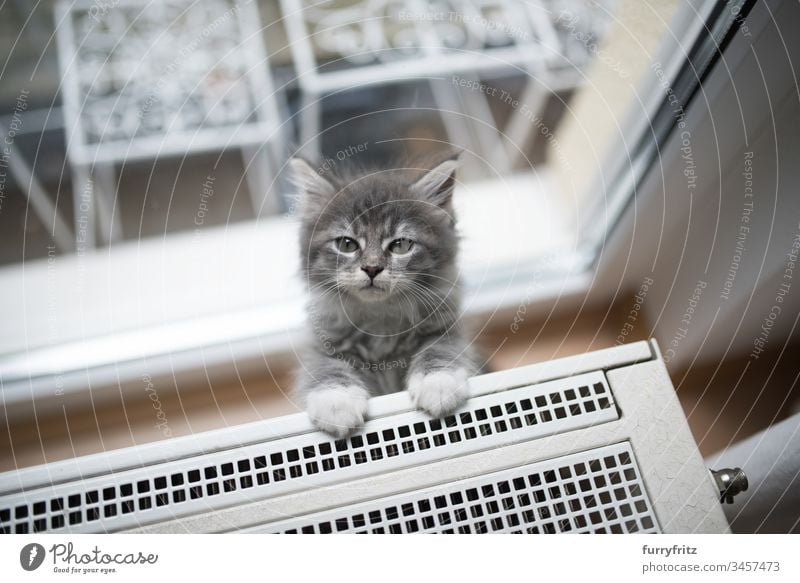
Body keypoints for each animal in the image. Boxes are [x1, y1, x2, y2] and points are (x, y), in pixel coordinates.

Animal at [294, 152, 482, 438]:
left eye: (401, 245)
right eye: (347, 244)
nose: (372, 268)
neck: (380, 318)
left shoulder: (446, 328)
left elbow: (440, 348)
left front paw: (438, 383)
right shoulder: (322, 343)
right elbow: (325, 367)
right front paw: (337, 402)